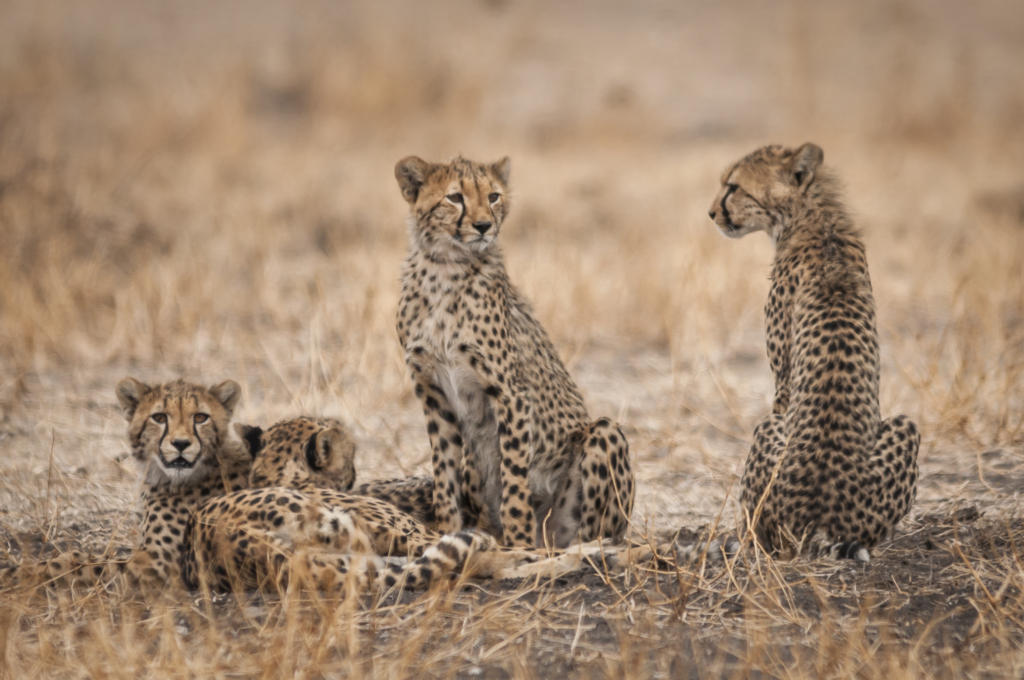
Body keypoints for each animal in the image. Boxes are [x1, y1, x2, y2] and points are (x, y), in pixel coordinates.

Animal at [395, 153, 634, 548]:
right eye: (455, 197)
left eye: (493, 196)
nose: (483, 226)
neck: (445, 267)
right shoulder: (432, 393)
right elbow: (444, 475)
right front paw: (447, 533)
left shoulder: (511, 392)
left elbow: (514, 480)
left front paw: (518, 544)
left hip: (602, 436)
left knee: (592, 533)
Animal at [708, 142, 925, 557]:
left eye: (733, 187)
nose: (711, 213)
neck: (815, 220)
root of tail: (820, 517)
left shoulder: (783, 382)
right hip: (904, 428)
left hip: (773, 430)